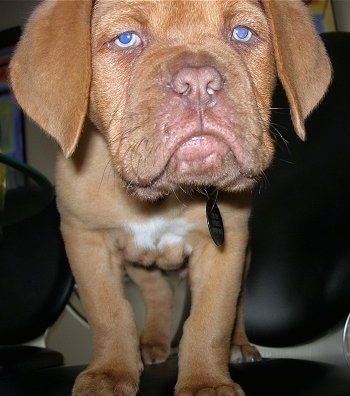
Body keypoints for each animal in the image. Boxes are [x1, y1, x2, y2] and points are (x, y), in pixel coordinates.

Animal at [8, 1, 330, 394]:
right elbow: (110, 314)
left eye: (242, 33)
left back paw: (238, 346)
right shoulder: (86, 241)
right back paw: (151, 343)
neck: (165, 195)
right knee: (157, 291)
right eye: (126, 39)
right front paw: (109, 373)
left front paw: (206, 382)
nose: (199, 83)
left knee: (234, 306)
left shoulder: (225, 248)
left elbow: (211, 320)